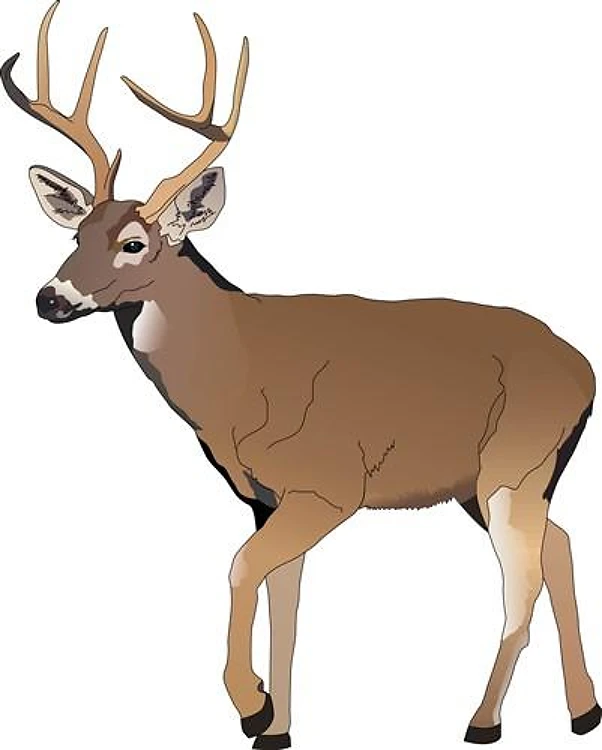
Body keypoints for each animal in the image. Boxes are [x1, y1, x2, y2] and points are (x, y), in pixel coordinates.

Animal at [1, 2, 600, 748]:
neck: (237, 375)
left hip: (512, 464)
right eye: (75, 236)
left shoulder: (328, 483)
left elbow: (240, 569)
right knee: (562, 545)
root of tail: (583, 367)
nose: (48, 299)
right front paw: (276, 726)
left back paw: (482, 721)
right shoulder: (267, 497)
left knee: (521, 584)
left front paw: (250, 703)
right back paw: (582, 710)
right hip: (495, 480)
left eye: (134, 243)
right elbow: (283, 605)